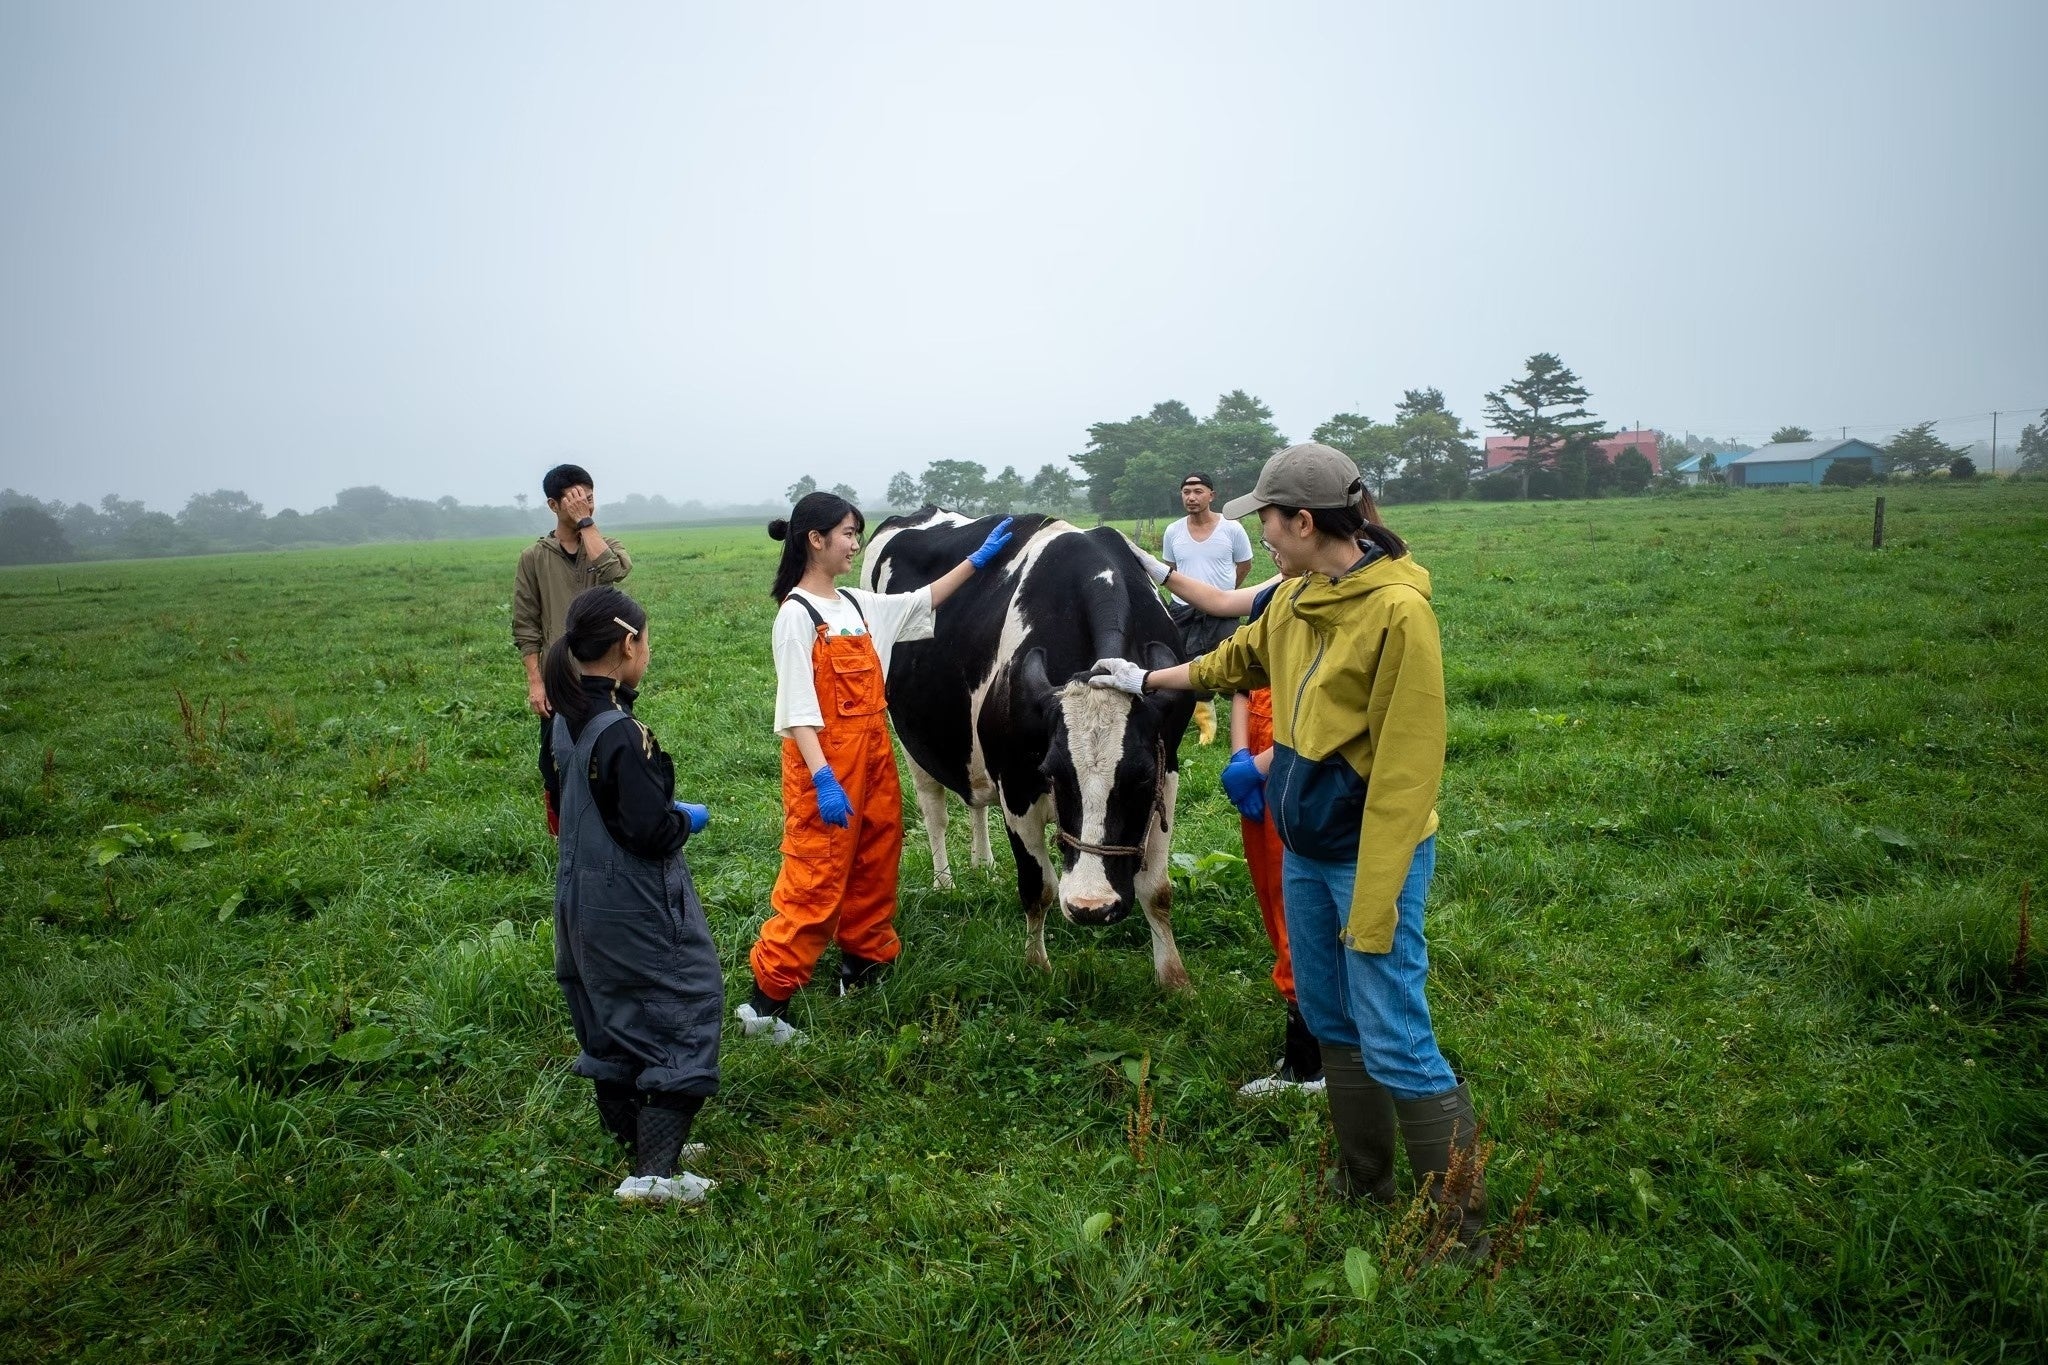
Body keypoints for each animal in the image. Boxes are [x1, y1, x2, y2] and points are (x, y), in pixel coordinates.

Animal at [851, 507, 1196, 986]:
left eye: (1141, 776)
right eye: (1052, 772)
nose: (1092, 907)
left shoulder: (1168, 771)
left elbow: (1157, 889)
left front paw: (1174, 980)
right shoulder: (1016, 783)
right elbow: (1038, 886)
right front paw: (1036, 967)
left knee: (974, 800)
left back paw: (983, 864)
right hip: (909, 737)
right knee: (934, 810)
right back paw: (945, 882)